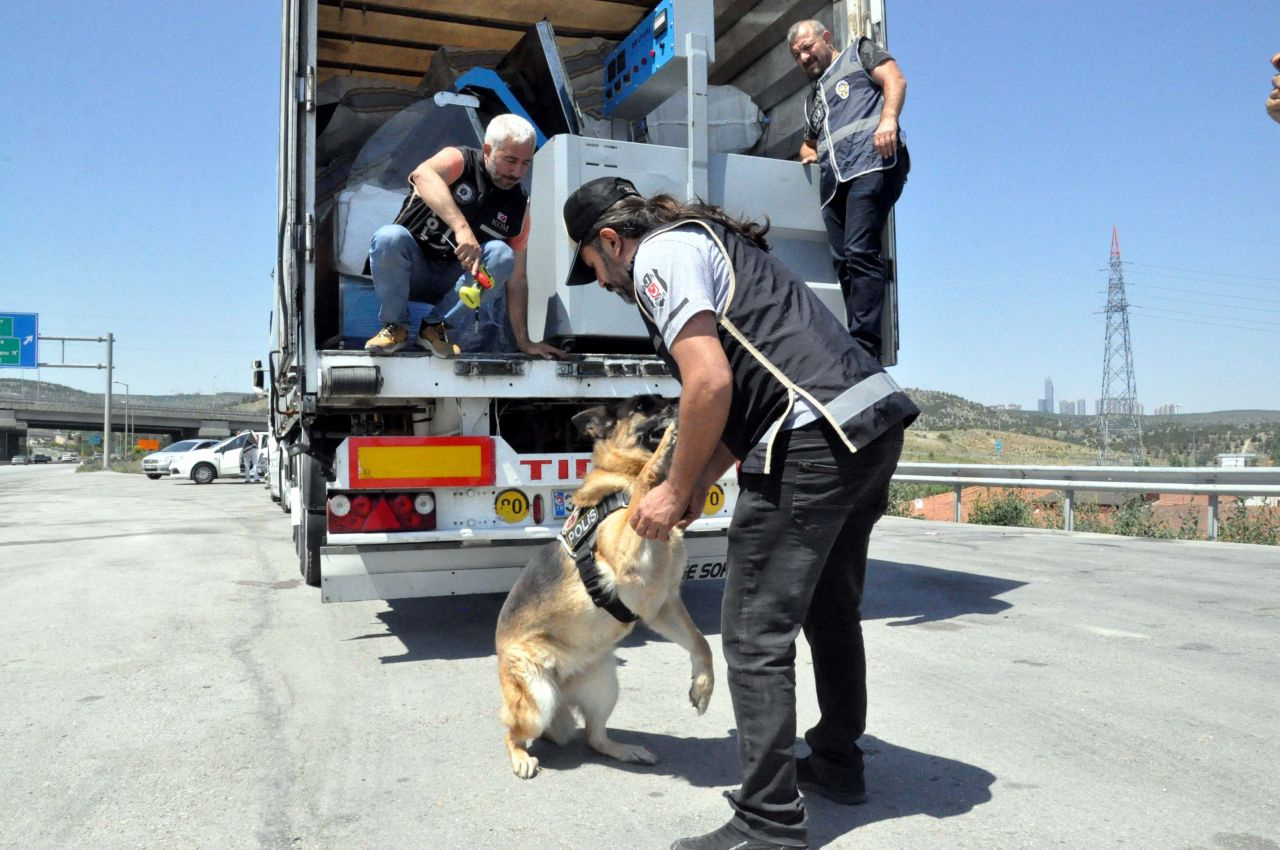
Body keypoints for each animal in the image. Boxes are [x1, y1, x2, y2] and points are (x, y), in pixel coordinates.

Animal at [494, 394, 716, 778]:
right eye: (643, 406)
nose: (681, 403)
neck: (622, 478)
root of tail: (563, 686)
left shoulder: (662, 605)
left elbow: (701, 644)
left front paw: (702, 686)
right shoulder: (628, 559)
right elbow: (644, 485)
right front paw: (664, 449)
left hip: (605, 685)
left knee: (594, 738)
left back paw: (625, 750)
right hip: (537, 697)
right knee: (511, 730)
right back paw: (520, 756)